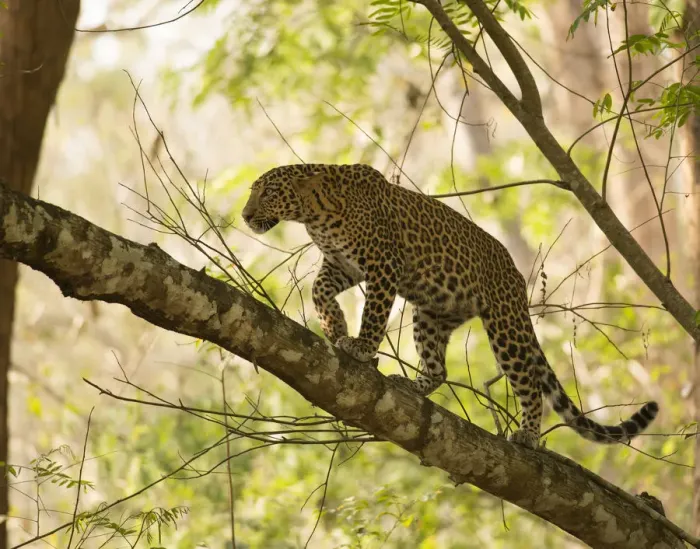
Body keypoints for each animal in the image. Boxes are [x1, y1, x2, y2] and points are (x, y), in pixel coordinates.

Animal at [241, 163, 659, 449]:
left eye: (267, 192)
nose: (245, 216)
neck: (314, 213)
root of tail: (516, 278)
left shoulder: (383, 264)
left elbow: (374, 312)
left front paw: (360, 346)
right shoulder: (342, 265)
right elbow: (318, 289)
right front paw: (334, 326)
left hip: (505, 325)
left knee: (529, 382)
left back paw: (527, 434)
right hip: (431, 313)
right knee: (439, 368)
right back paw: (414, 384)